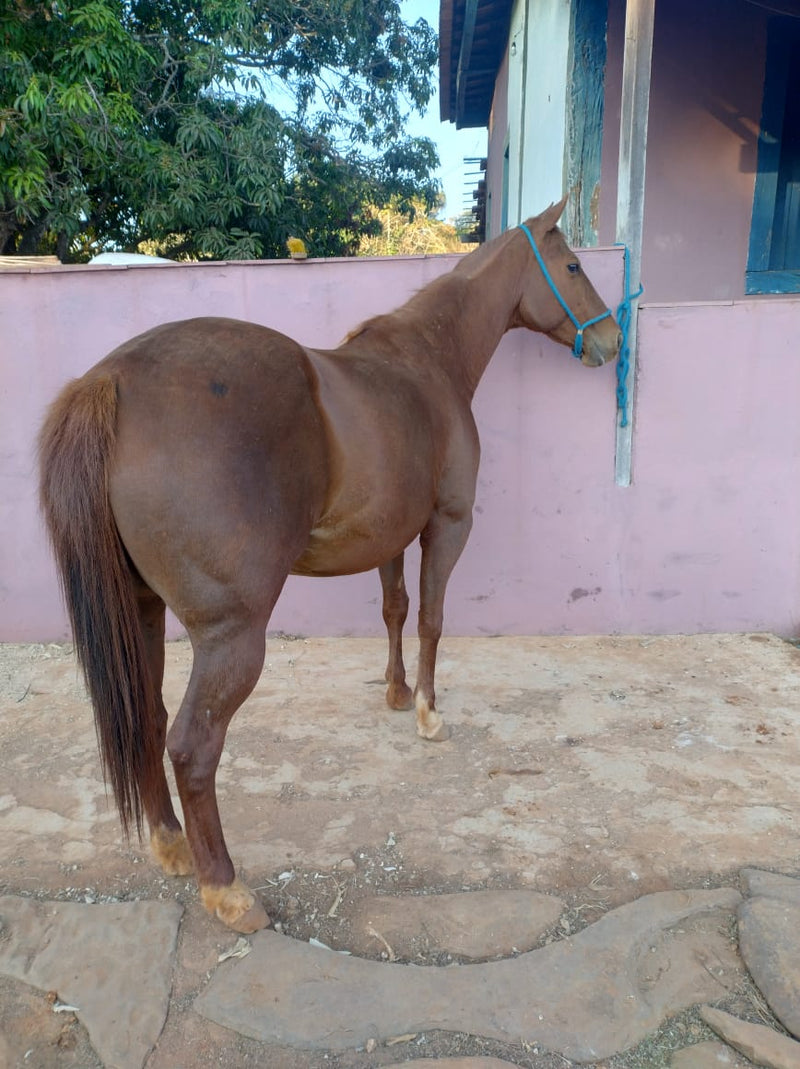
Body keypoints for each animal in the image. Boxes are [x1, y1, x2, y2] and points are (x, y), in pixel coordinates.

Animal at [40, 196, 620, 932]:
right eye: (572, 266)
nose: (612, 342)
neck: (426, 362)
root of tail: (110, 380)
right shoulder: (447, 525)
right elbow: (432, 618)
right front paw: (429, 711)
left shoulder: (390, 536)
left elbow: (395, 610)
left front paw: (396, 693)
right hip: (231, 637)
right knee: (192, 746)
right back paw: (225, 887)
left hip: (140, 613)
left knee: (147, 719)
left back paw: (171, 845)